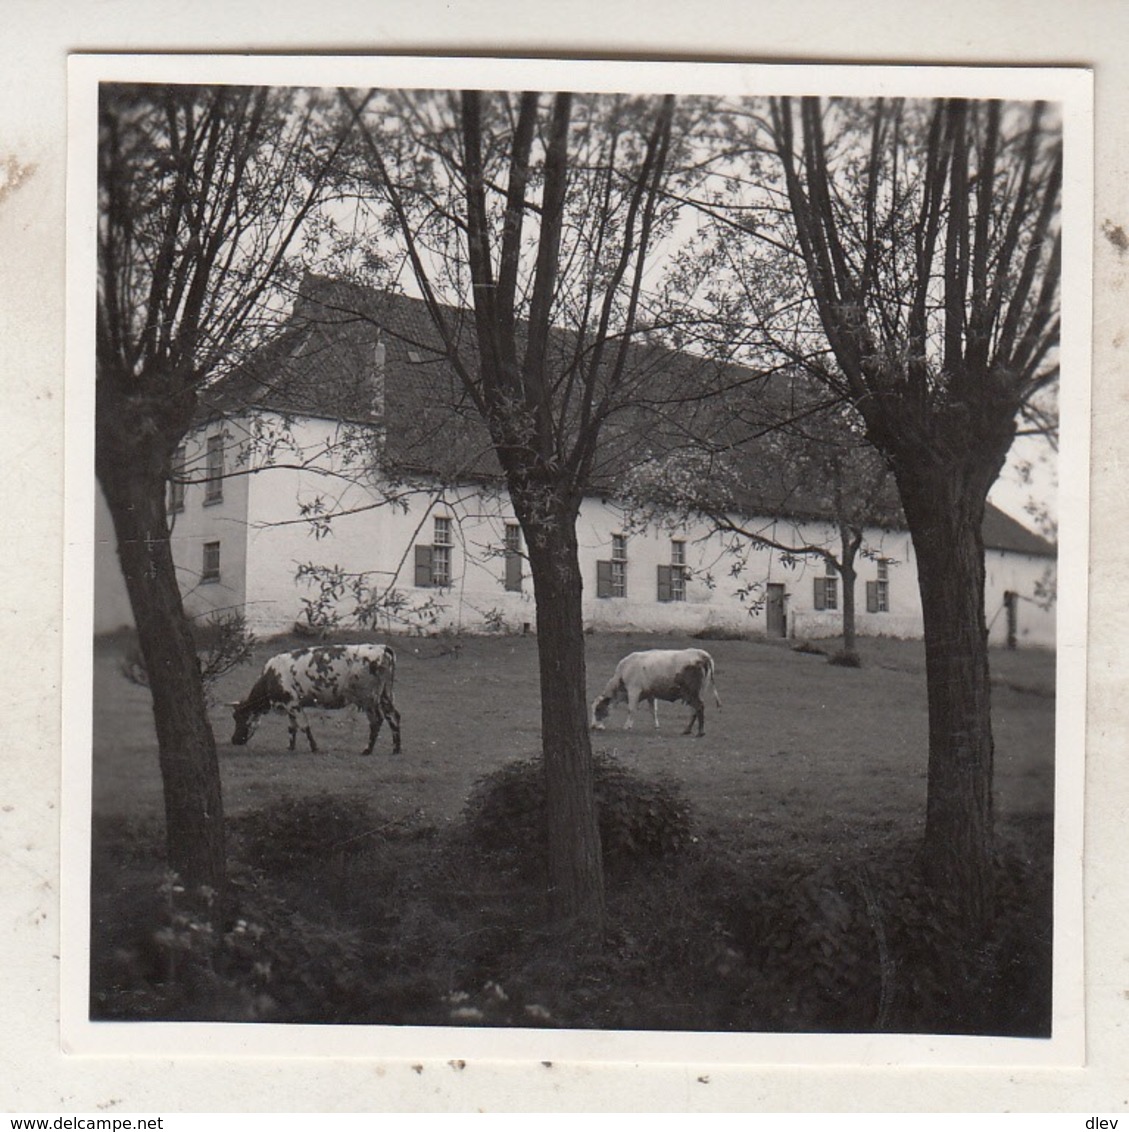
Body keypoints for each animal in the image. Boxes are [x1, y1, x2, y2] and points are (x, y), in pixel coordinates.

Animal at [228, 647, 400, 751]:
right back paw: (396, 749)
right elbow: (292, 728)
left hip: (369, 699)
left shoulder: (293, 703)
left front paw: (314, 747)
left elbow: (304, 726)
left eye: (239, 717)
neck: (271, 676)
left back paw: (367, 750)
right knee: (393, 716)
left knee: (377, 720)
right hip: (386, 696)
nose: (234, 740)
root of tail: (382, 648)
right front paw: (291, 747)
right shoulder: (290, 706)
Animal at [588, 652, 724, 738]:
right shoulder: (651, 695)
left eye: (598, 709)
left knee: (699, 707)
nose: (593, 726)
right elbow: (653, 710)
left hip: (692, 693)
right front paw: (656, 726)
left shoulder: (633, 690)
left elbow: (631, 709)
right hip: (696, 693)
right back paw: (687, 730)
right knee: (694, 710)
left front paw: (627, 726)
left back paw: (700, 732)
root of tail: (703, 655)